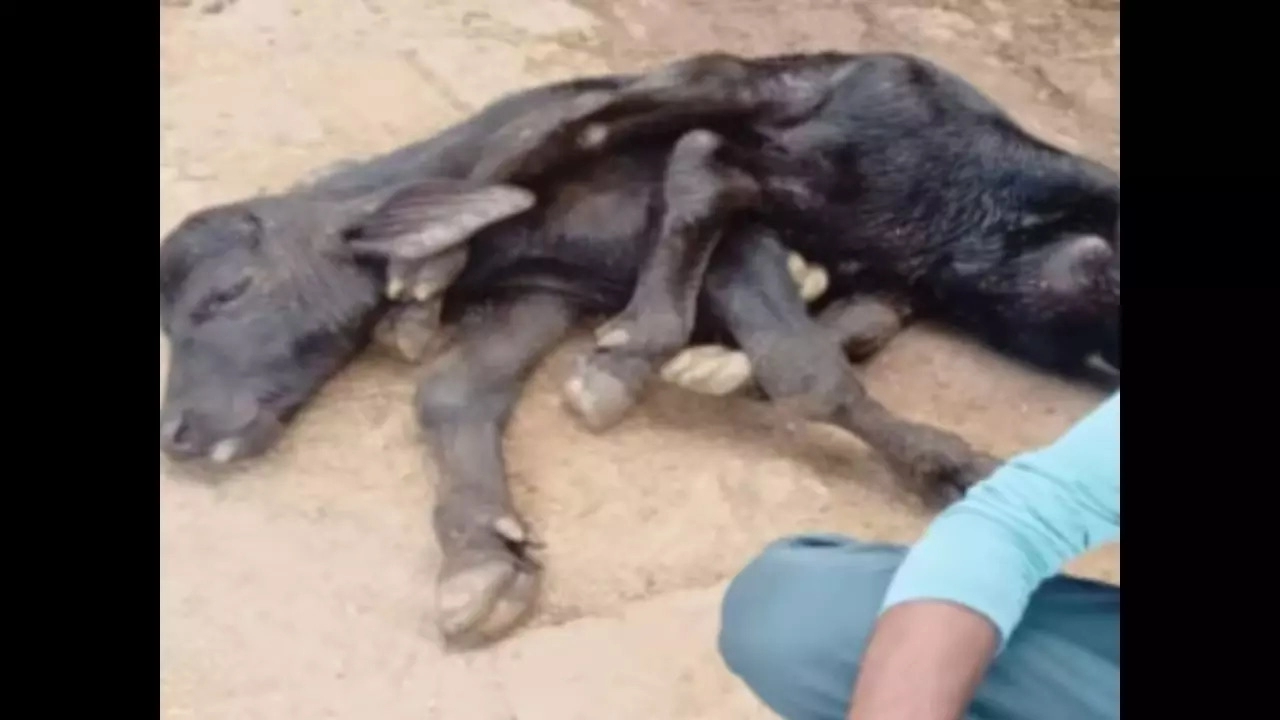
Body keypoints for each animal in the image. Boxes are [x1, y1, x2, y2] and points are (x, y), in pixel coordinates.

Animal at [158, 51, 1119, 648]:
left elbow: (802, 368)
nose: (177, 433)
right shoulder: (543, 293)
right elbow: (453, 394)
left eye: (225, 294)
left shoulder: (737, 244)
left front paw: (945, 465)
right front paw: (481, 562)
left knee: (679, 130)